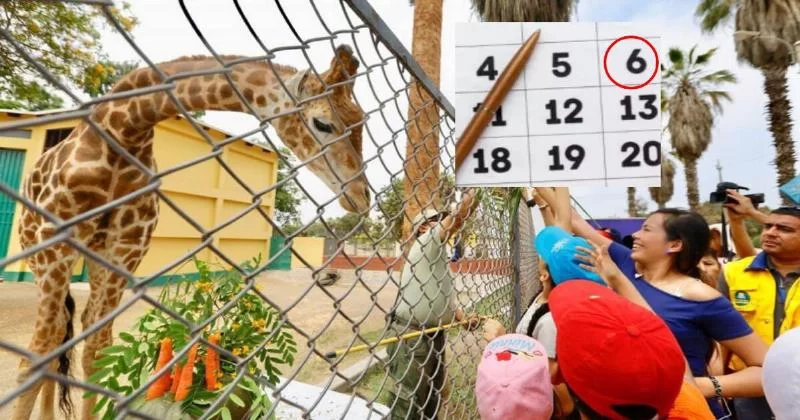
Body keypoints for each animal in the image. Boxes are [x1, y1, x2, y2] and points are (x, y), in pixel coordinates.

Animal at [12, 44, 368, 418]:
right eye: (322, 122)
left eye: (361, 122)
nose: (362, 197)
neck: (123, 130)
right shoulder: (54, 245)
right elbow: (34, 359)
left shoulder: (124, 249)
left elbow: (97, 353)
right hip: (39, 254)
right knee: (51, 339)